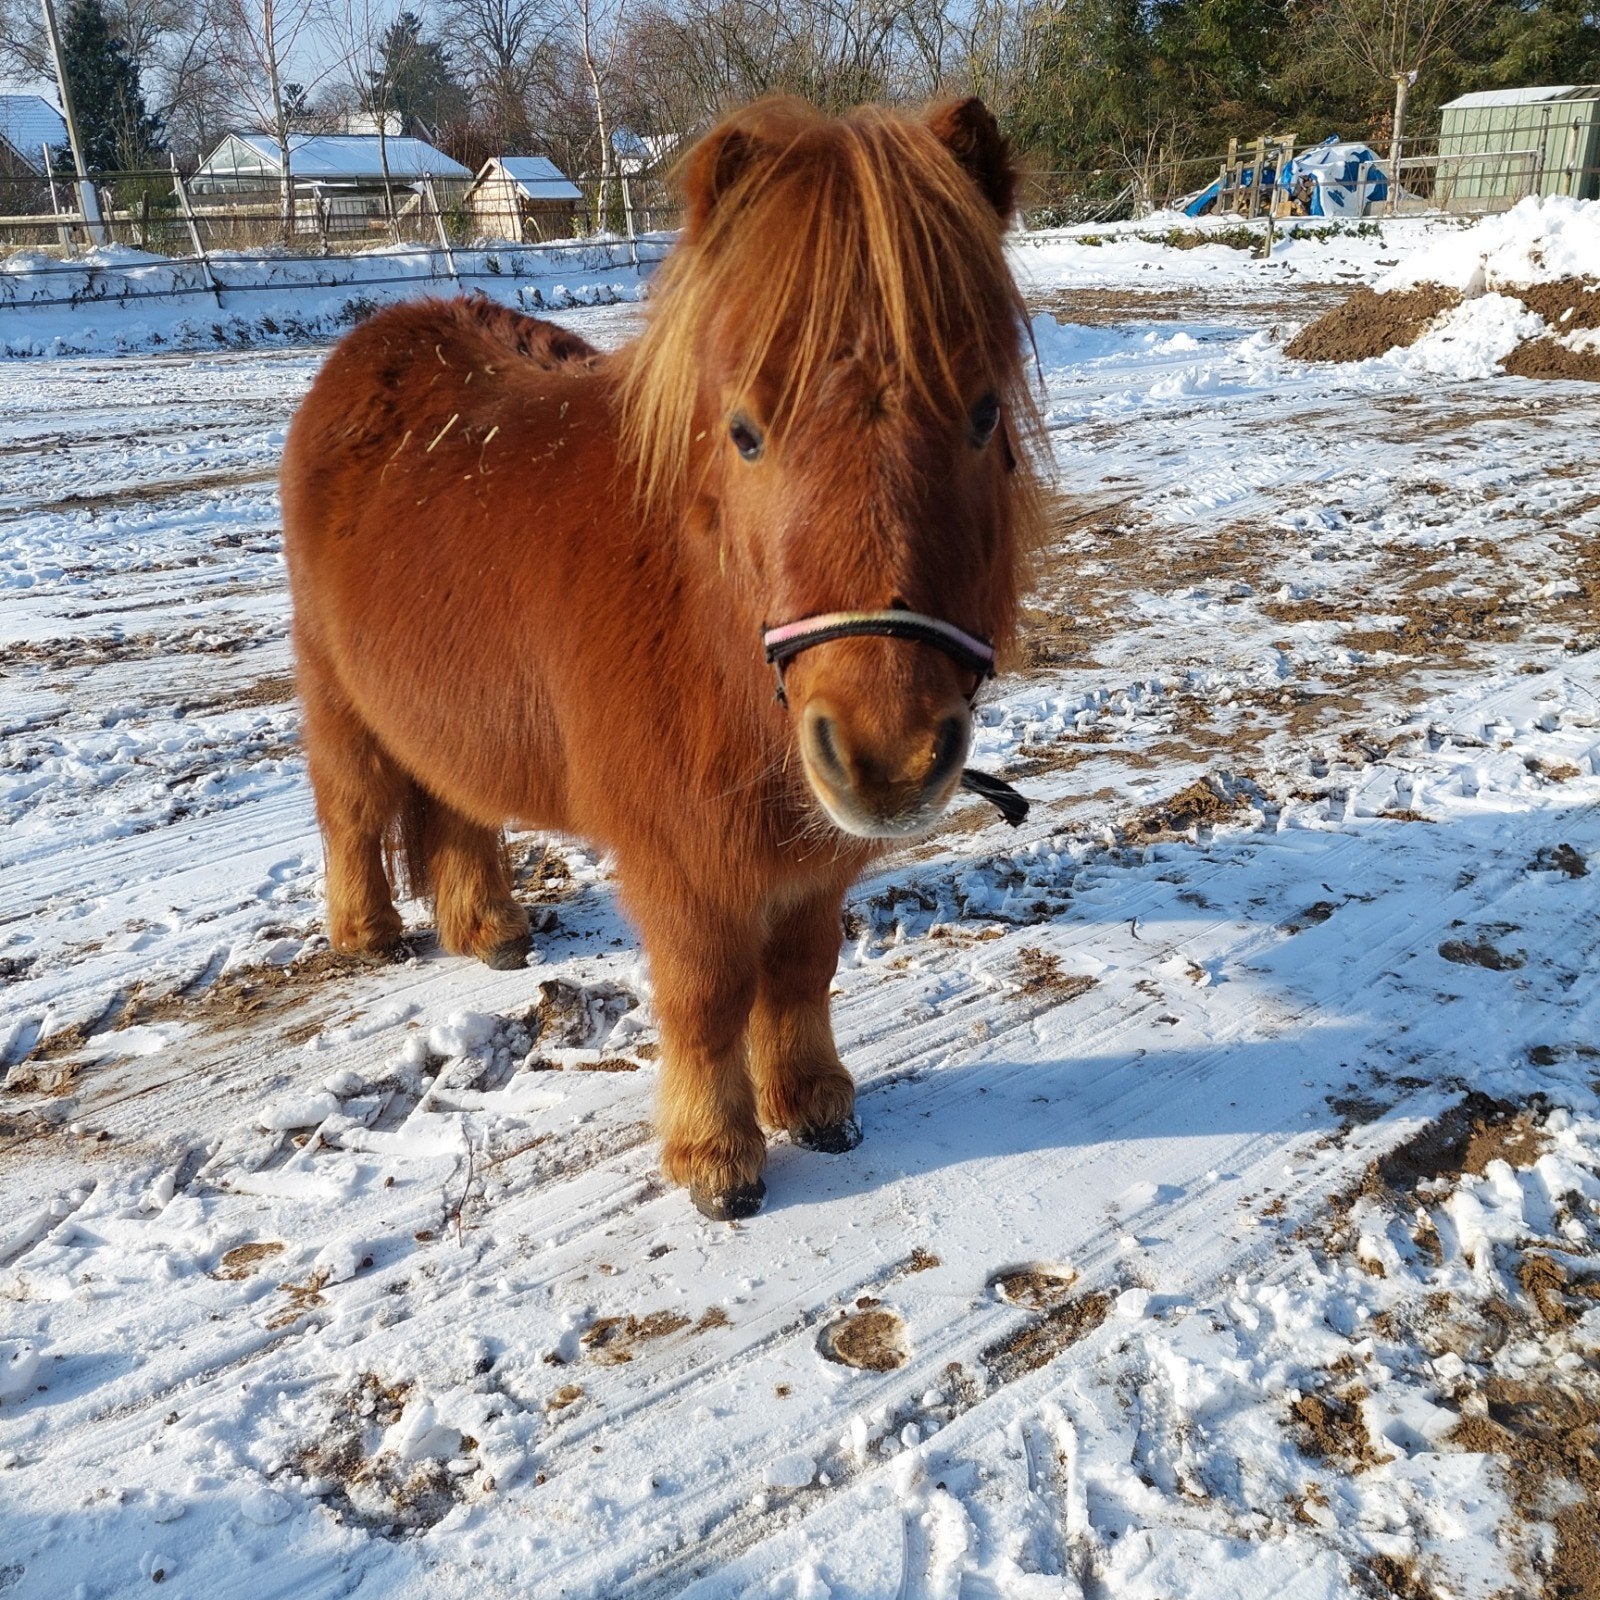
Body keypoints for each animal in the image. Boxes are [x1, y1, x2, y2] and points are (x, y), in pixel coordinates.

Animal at [279, 95, 1043, 1220]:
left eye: (984, 412)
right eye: (746, 432)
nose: (887, 755)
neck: (707, 622)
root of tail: (374, 341)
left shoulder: (810, 856)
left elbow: (802, 969)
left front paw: (815, 1102)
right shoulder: (679, 859)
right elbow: (705, 993)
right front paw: (715, 1156)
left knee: (456, 804)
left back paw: (492, 929)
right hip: (339, 698)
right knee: (352, 805)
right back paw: (368, 932)